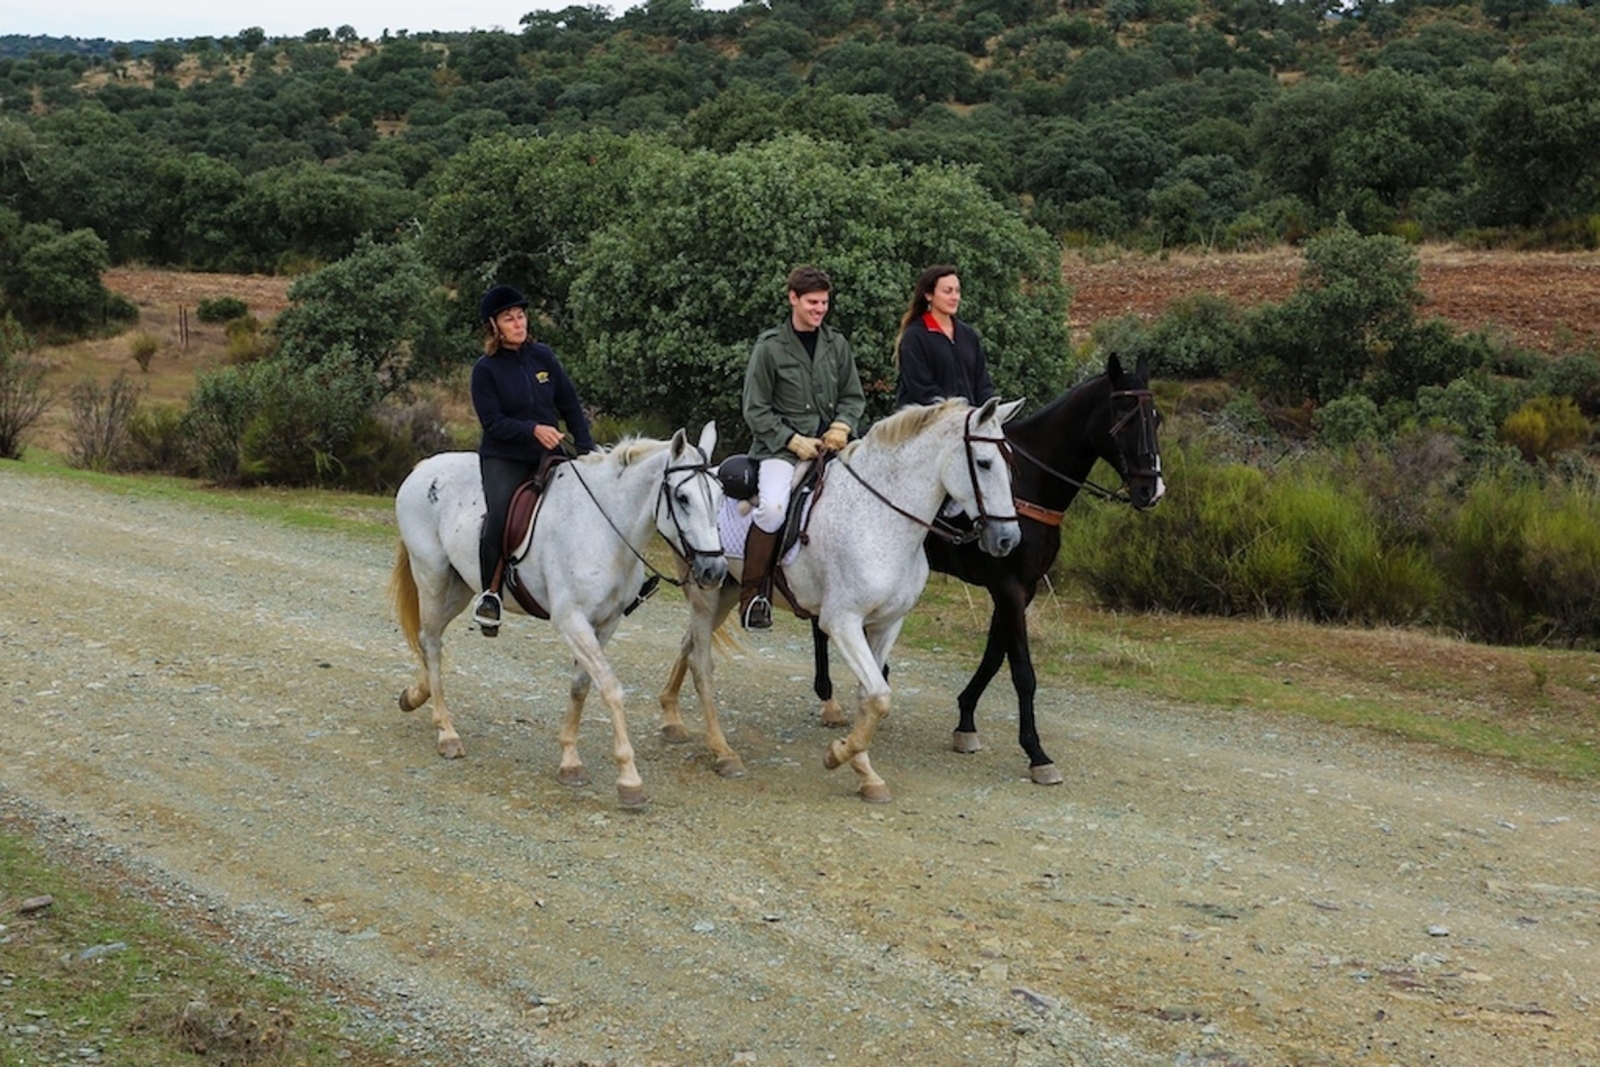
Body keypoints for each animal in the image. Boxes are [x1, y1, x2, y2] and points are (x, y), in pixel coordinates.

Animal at [389, 423, 728, 808]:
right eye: (683, 498)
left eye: (720, 496)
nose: (714, 571)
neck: (603, 529)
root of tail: (423, 469)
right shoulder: (572, 620)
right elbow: (610, 688)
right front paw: (629, 779)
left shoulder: (605, 624)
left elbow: (581, 686)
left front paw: (570, 761)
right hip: (432, 576)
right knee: (431, 642)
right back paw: (446, 732)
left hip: (459, 586)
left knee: (428, 639)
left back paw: (415, 696)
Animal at [657, 397, 1025, 803]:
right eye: (984, 463)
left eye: (1010, 464)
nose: (1008, 539)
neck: (880, 518)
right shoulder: (842, 622)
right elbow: (879, 697)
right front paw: (837, 755)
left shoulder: (886, 624)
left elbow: (868, 697)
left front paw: (865, 774)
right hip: (705, 592)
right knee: (699, 659)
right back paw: (718, 749)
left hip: (726, 590)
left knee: (688, 643)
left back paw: (672, 718)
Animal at [810, 352, 1165, 785]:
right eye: (1123, 417)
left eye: (1156, 418)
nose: (1151, 491)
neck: (1028, 488)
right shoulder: (1008, 587)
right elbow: (1022, 671)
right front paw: (1036, 753)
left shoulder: (1021, 589)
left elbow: (996, 656)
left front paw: (965, 721)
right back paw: (829, 699)